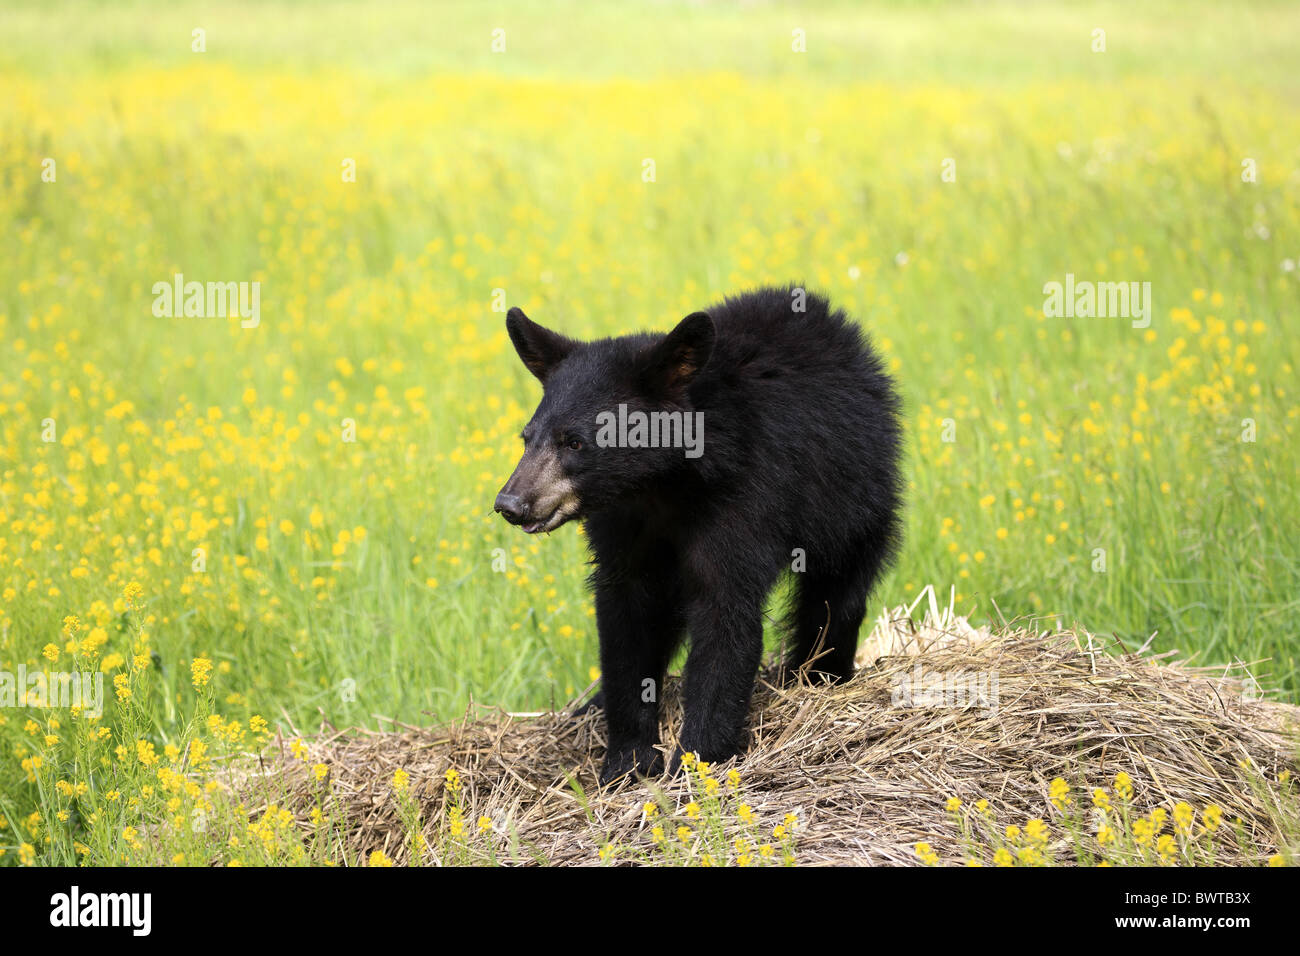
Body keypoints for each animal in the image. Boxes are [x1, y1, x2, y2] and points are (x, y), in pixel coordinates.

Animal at [496, 287, 904, 790]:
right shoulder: (624, 529)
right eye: (527, 437)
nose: (511, 502)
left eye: (574, 441)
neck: (662, 487)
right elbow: (627, 621)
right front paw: (627, 760)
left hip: (851, 497)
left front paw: (697, 759)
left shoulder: (746, 499)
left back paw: (818, 677)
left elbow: (725, 614)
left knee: (835, 595)